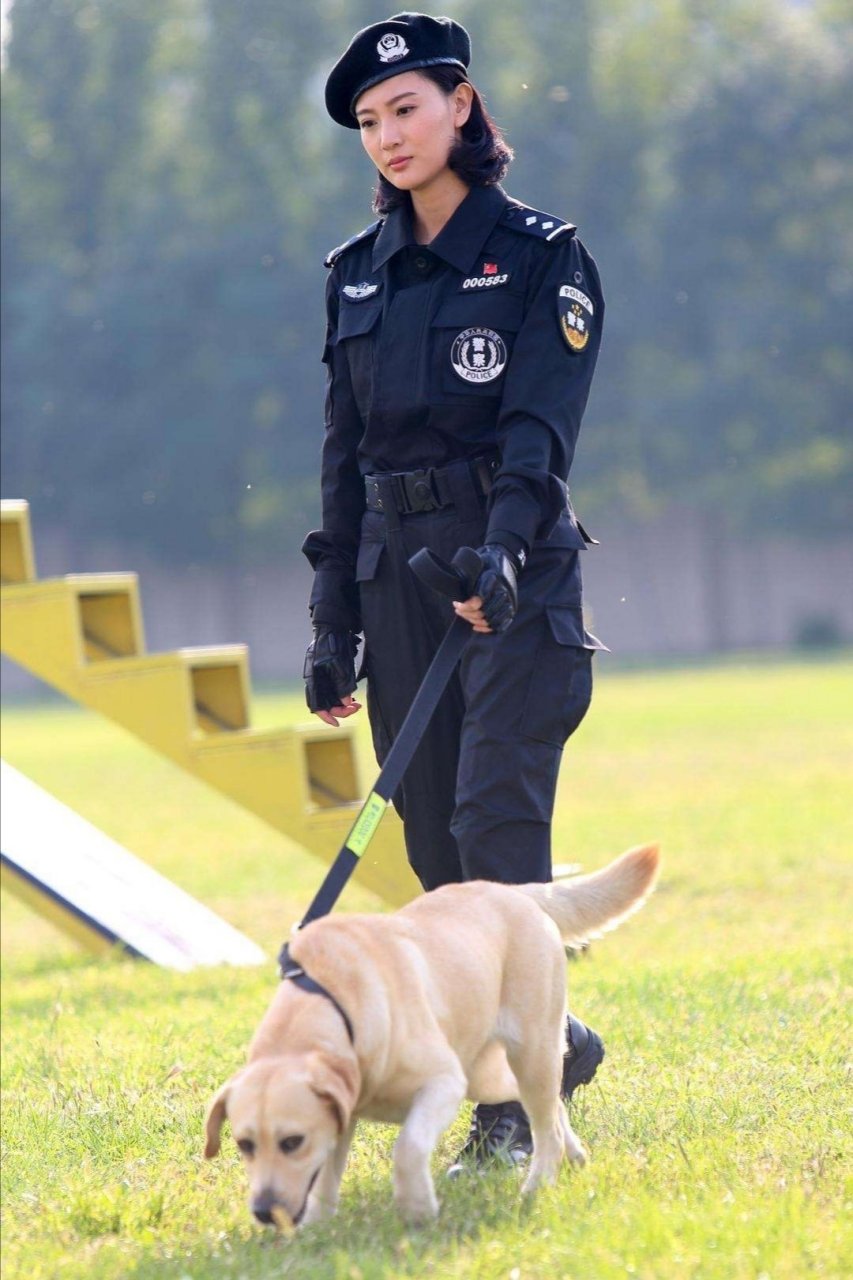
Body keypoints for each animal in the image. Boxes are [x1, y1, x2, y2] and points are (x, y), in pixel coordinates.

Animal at [206, 844, 655, 1223]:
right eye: (244, 1144)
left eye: (292, 1141)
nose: (264, 1213)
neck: (335, 1003)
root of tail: (518, 893)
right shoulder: (341, 1113)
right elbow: (327, 1175)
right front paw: (316, 1226)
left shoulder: (443, 1083)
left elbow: (407, 1147)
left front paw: (417, 1208)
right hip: (488, 1074)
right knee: (546, 1109)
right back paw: (575, 1154)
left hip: (527, 1052)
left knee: (546, 1126)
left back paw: (538, 1184)